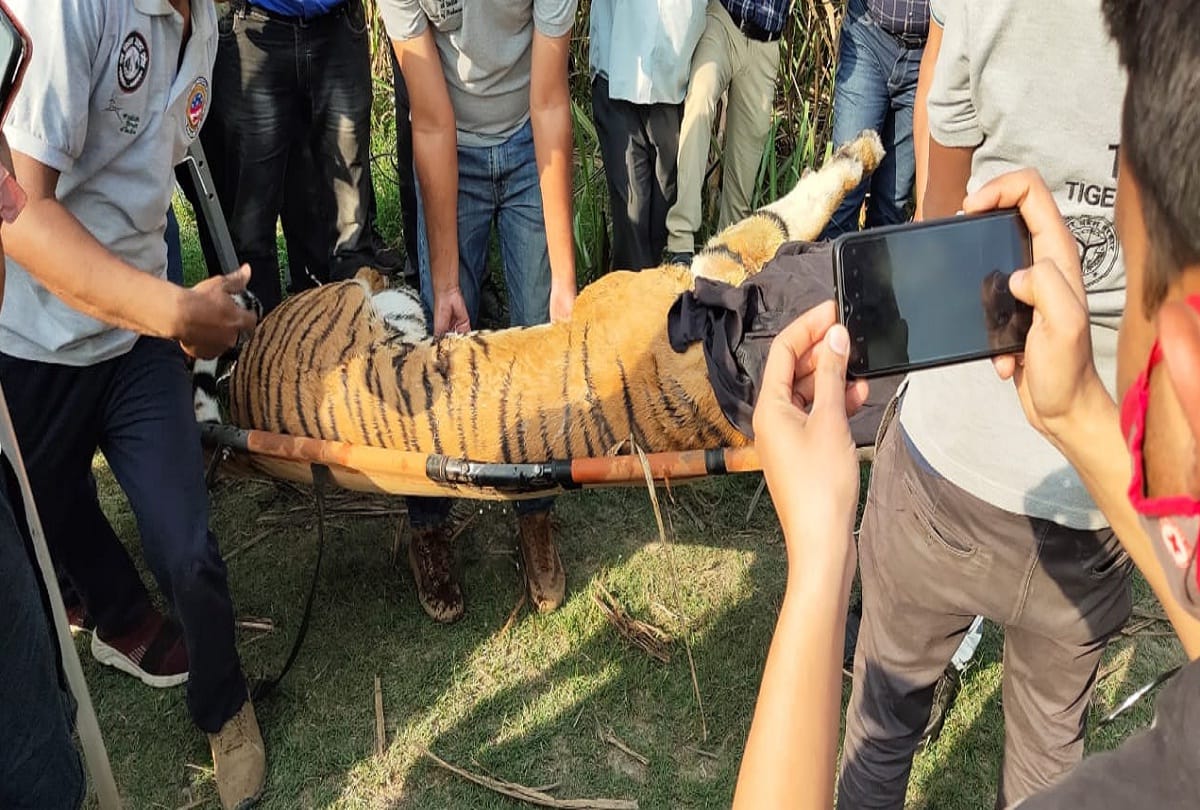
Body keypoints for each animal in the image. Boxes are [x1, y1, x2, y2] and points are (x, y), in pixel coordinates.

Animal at [227, 132, 885, 462]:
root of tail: (238, 376)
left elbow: (782, 216)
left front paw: (863, 152)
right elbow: (781, 215)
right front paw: (867, 149)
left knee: (381, 288)